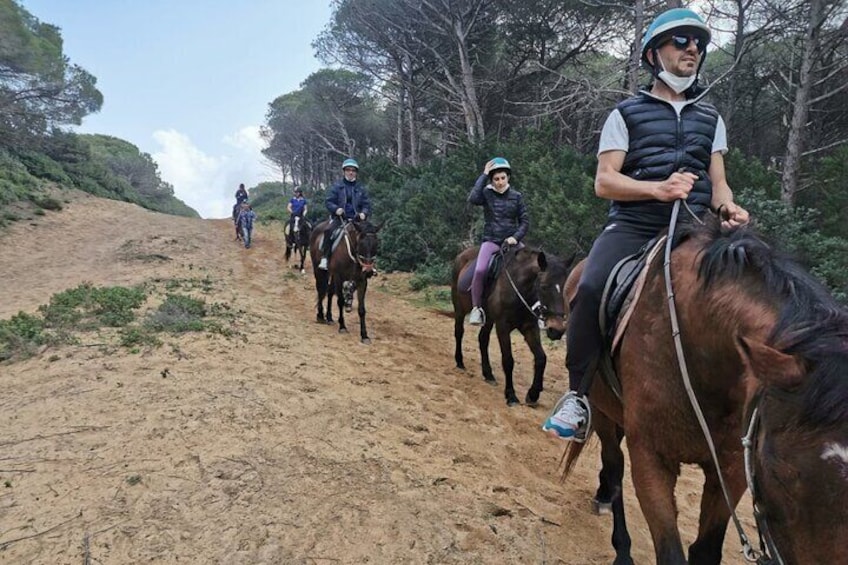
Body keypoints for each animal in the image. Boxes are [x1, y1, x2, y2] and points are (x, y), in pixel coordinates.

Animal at [450, 247, 576, 406]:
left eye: (565, 289)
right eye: (543, 287)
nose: (557, 330)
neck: (519, 289)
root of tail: (462, 254)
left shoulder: (529, 327)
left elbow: (541, 358)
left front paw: (533, 394)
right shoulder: (502, 326)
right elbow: (508, 360)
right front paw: (511, 395)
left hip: (489, 319)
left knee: (483, 339)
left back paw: (488, 374)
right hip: (460, 308)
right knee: (459, 332)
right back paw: (459, 361)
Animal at [564, 214, 848, 560]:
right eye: (779, 475)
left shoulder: (731, 469)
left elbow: (706, 550)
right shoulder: (651, 459)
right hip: (601, 409)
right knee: (614, 463)